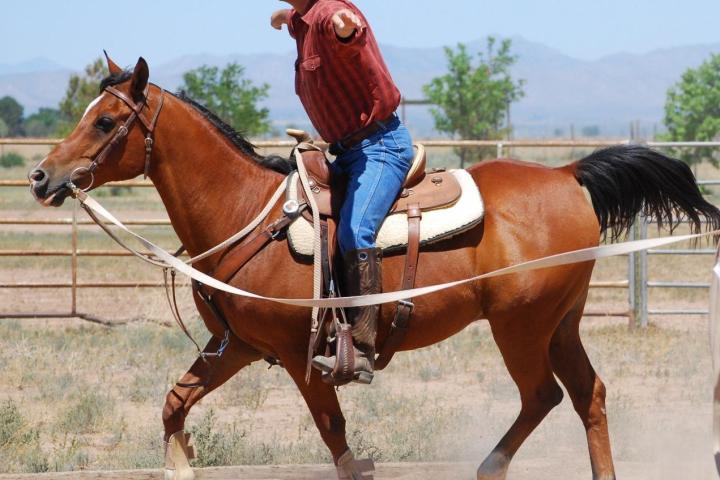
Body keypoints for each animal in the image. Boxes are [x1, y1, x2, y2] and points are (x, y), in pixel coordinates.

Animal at [28, 56, 720, 480]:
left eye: (106, 120)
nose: (41, 176)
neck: (244, 212)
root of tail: (567, 174)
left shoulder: (303, 359)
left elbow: (335, 435)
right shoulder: (238, 346)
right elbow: (174, 403)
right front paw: (180, 460)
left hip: (520, 326)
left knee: (543, 395)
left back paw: (489, 466)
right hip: (560, 323)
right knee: (587, 395)